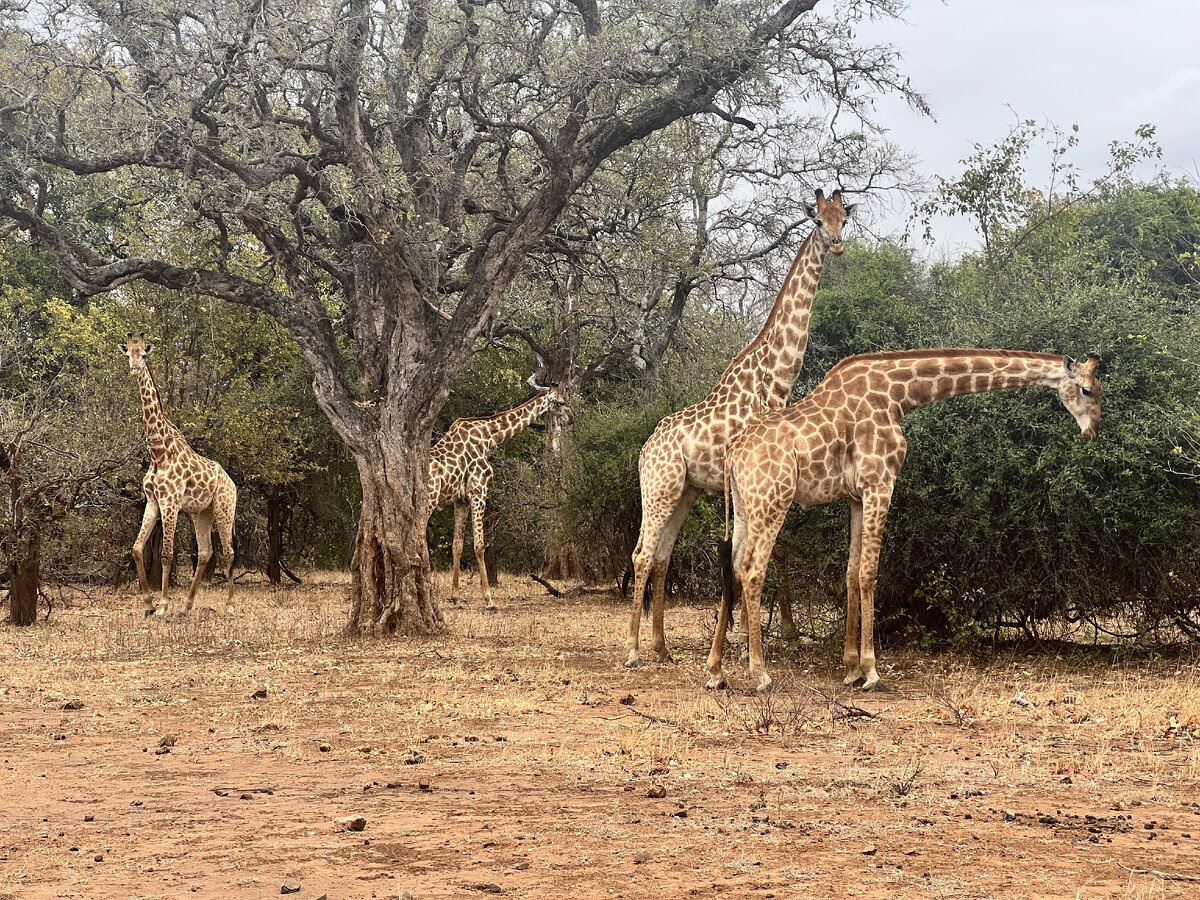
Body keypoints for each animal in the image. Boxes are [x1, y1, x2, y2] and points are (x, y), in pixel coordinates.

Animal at [119, 333, 238, 619]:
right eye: (128, 354)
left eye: (144, 354)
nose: (134, 368)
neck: (157, 452)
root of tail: (233, 483)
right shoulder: (153, 501)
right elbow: (137, 549)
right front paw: (148, 604)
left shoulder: (170, 502)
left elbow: (166, 553)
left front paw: (162, 606)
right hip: (201, 513)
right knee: (205, 552)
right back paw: (186, 606)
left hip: (224, 508)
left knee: (228, 551)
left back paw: (229, 605)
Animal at [429, 388, 568, 614]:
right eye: (562, 402)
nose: (571, 418)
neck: (489, 437)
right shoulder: (479, 490)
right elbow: (479, 545)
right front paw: (489, 599)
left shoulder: (461, 500)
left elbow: (457, 545)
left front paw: (456, 598)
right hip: (429, 501)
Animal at [624, 190, 859, 672]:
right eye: (818, 221)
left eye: (843, 218)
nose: (837, 243)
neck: (775, 378)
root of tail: (643, 451)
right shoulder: (760, 474)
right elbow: (764, 551)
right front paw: (768, 634)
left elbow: (766, 550)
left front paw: (772, 632)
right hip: (658, 488)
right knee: (642, 553)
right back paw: (634, 649)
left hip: (684, 491)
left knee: (661, 555)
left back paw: (661, 647)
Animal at [705, 348, 1099, 696]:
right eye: (1087, 389)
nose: (1094, 430)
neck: (899, 395)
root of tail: (733, 452)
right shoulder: (880, 483)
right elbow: (869, 572)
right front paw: (871, 672)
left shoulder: (856, 497)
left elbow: (851, 572)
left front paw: (850, 669)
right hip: (773, 500)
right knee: (752, 569)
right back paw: (760, 675)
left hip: (744, 506)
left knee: (731, 567)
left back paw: (716, 671)